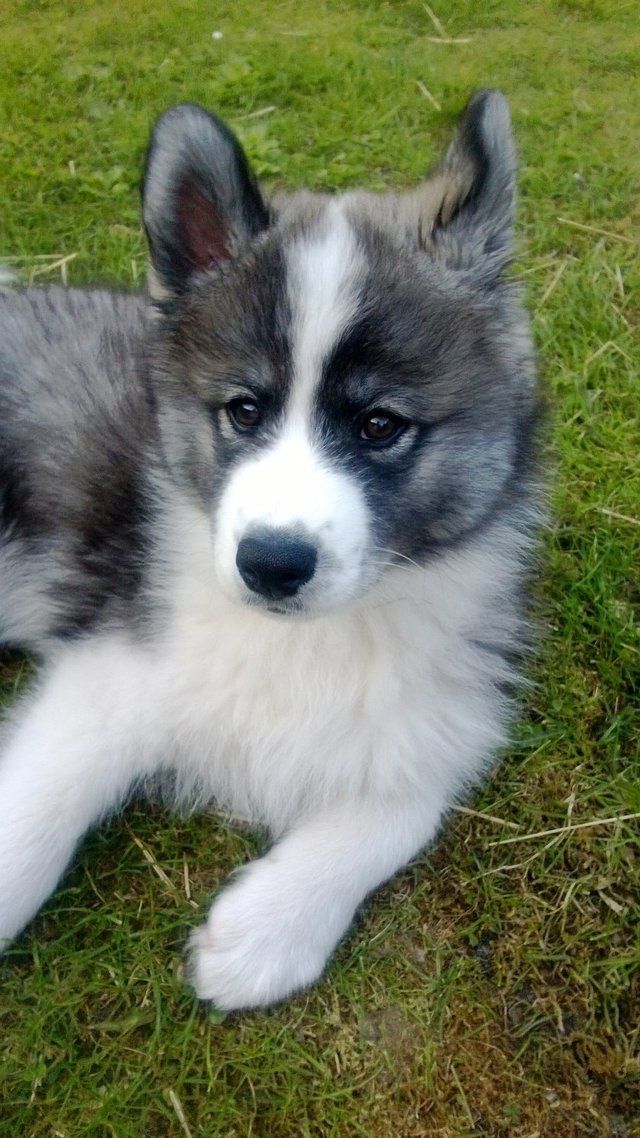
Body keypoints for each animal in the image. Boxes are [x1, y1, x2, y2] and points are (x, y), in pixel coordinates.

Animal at [0, 91, 537, 1015]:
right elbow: (37, 810)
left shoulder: (447, 702)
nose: (272, 565)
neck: (302, 638)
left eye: (380, 424)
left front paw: (273, 926)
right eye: (244, 411)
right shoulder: (112, 669)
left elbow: (406, 806)